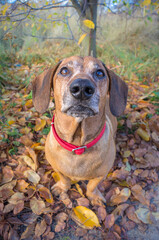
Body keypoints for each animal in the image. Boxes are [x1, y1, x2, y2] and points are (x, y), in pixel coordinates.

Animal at [32, 55, 128, 204]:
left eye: (99, 73)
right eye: (64, 70)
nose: (82, 87)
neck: (77, 145)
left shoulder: (101, 174)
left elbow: (92, 186)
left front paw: (94, 196)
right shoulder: (57, 168)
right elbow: (64, 178)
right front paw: (62, 187)